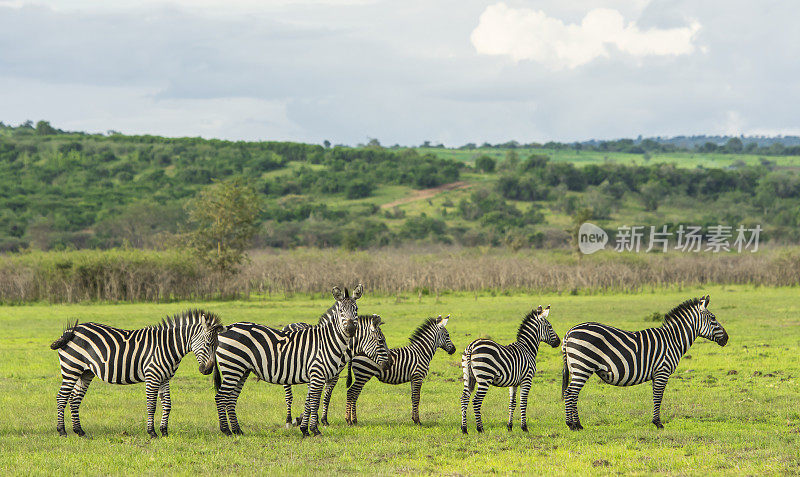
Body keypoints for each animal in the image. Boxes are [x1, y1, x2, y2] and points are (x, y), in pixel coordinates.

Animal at [50, 308, 225, 436]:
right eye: (208, 344)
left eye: (217, 346)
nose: (207, 370)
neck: (168, 346)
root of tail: (72, 330)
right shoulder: (152, 376)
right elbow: (152, 405)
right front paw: (152, 432)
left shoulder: (165, 378)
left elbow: (167, 404)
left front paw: (164, 431)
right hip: (71, 369)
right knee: (61, 397)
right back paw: (62, 431)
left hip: (85, 372)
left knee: (74, 399)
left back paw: (79, 431)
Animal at [211, 284, 390, 436]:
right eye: (381, 341)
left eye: (356, 309)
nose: (351, 329)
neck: (328, 342)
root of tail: (226, 329)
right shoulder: (317, 375)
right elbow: (314, 402)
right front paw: (314, 430)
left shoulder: (317, 376)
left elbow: (310, 401)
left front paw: (304, 428)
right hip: (232, 367)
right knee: (221, 397)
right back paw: (226, 430)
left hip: (242, 370)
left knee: (231, 398)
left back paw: (237, 430)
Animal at [460, 306, 560, 434]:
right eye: (550, 327)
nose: (558, 342)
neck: (527, 349)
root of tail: (472, 346)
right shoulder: (527, 379)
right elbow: (523, 403)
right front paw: (524, 427)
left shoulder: (514, 382)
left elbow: (512, 403)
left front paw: (509, 426)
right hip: (484, 377)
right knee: (476, 401)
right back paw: (480, 428)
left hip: (467, 376)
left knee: (464, 398)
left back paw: (464, 429)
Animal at [564, 292, 724, 430]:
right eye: (713, 319)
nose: (727, 338)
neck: (673, 340)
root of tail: (569, 331)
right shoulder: (662, 371)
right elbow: (658, 397)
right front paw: (658, 423)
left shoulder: (657, 374)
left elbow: (655, 396)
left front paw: (656, 421)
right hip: (583, 366)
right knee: (571, 393)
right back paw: (573, 425)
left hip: (575, 368)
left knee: (571, 394)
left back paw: (576, 424)